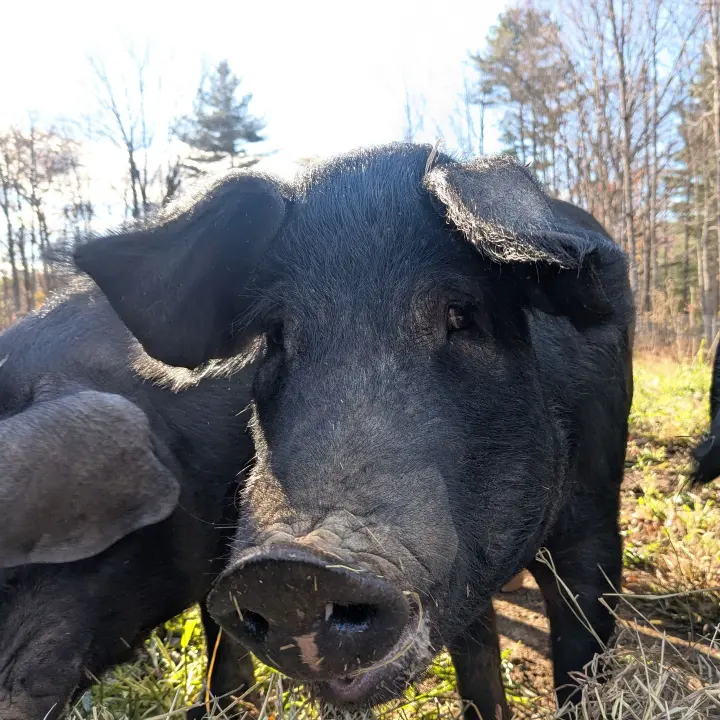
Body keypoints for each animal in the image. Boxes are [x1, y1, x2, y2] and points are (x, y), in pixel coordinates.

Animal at [75, 144, 635, 720]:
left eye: (462, 314)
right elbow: (477, 665)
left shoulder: (595, 519)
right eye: (276, 335)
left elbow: (582, 657)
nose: (290, 571)